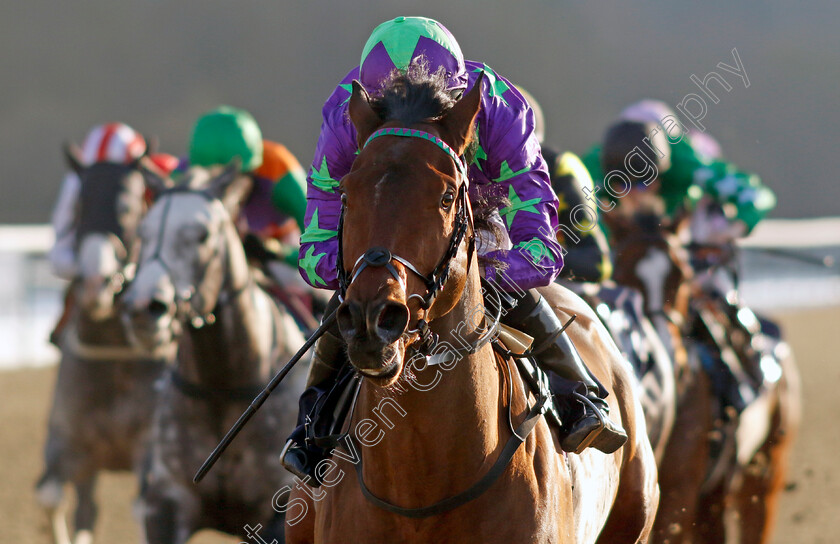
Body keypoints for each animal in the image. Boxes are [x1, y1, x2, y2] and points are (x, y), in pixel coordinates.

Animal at [37, 144, 171, 544]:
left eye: (129, 208)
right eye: (80, 206)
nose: (96, 284)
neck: (114, 355)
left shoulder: (150, 445)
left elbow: (145, 509)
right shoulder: (66, 437)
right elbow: (50, 495)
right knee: (85, 508)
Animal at [123, 164, 306, 544]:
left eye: (203, 234)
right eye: (144, 232)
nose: (143, 308)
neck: (222, 388)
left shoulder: (280, 507)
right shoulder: (166, 501)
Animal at [608, 215, 796, 540]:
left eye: (682, 276)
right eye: (620, 269)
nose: (664, 345)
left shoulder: (677, 494)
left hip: (764, 471)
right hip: (716, 494)